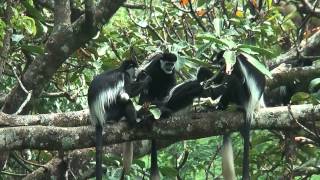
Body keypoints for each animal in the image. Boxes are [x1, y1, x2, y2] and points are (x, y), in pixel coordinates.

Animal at [137, 51, 179, 179]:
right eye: (168, 63)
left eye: (172, 64)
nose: (169, 67)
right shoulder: (154, 66)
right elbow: (146, 78)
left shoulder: (172, 72)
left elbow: (171, 84)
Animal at [206, 51, 266, 179]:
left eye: (222, 63)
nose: (222, 68)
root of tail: (251, 107)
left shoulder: (235, 64)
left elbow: (238, 79)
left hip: (242, 97)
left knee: (234, 81)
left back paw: (218, 106)